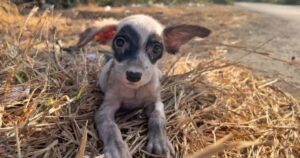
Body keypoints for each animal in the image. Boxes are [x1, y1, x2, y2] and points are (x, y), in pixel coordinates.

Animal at [77, 14, 211, 157]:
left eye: (156, 48)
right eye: (120, 42)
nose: (133, 75)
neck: (134, 90)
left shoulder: (156, 102)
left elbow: (157, 118)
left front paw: (160, 142)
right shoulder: (105, 108)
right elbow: (110, 127)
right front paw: (117, 147)